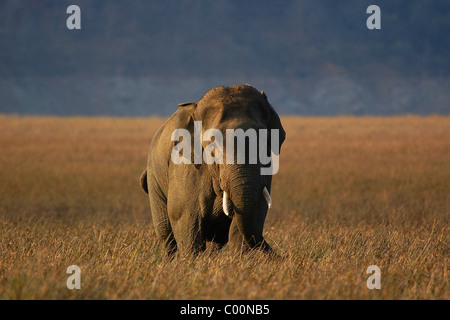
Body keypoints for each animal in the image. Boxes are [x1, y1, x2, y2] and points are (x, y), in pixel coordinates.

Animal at [141, 84, 284, 255]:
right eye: (213, 143)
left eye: (265, 139)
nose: (281, 255)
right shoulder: (185, 167)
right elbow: (183, 216)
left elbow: (254, 212)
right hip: (154, 178)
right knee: (166, 234)